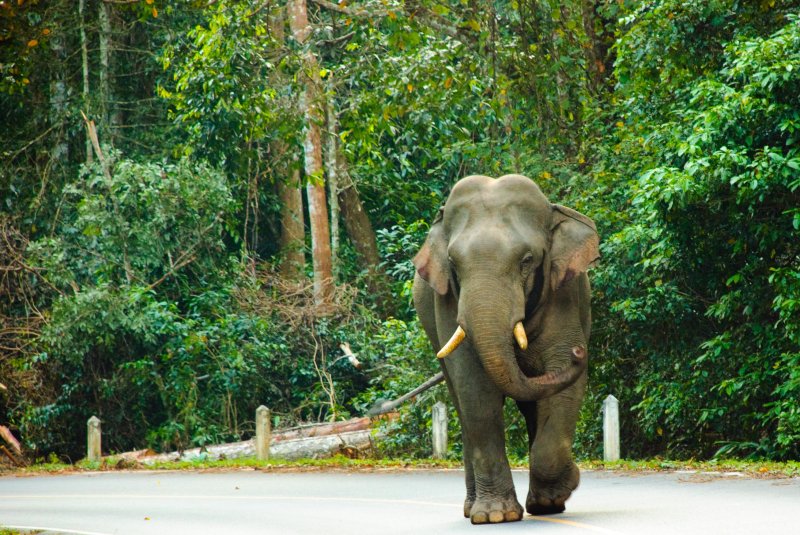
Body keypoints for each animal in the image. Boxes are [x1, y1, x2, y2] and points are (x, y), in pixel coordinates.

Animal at [412, 175, 600, 524]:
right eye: (453, 263)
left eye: (527, 260)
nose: (580, 352)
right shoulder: (446, 302)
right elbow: (475, 389)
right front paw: (495, 516)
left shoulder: (564, 292)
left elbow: (563, 389)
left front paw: (564, 487)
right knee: (463, 408)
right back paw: (472, 508)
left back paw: (545, 504)